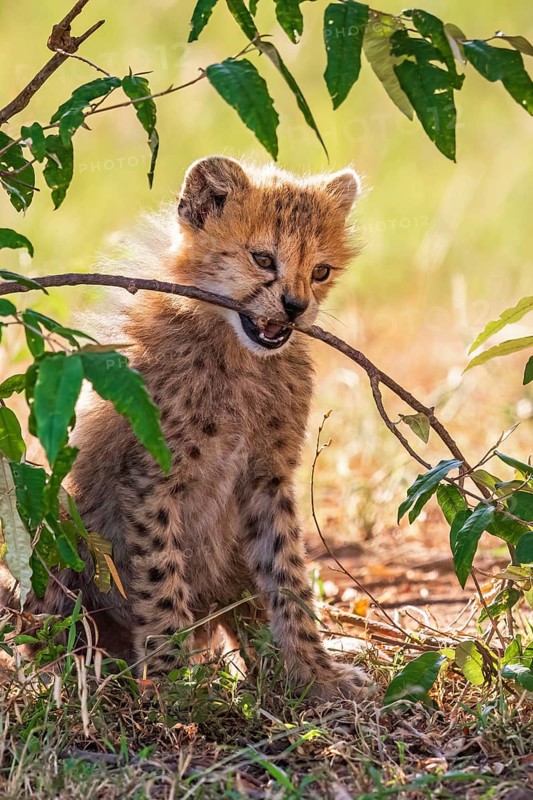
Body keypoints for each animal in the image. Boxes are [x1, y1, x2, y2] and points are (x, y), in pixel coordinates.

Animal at [17, 155, 368, 700]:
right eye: (263, 258)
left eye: (320, 271)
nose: (295, 307)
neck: (236, 351)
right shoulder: (150, 480)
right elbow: (161, 577)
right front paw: (169, 684)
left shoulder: (267, 478)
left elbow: (287, 574)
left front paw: (314, 673)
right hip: (50, 516)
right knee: (60, 633)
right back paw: (79, 681)